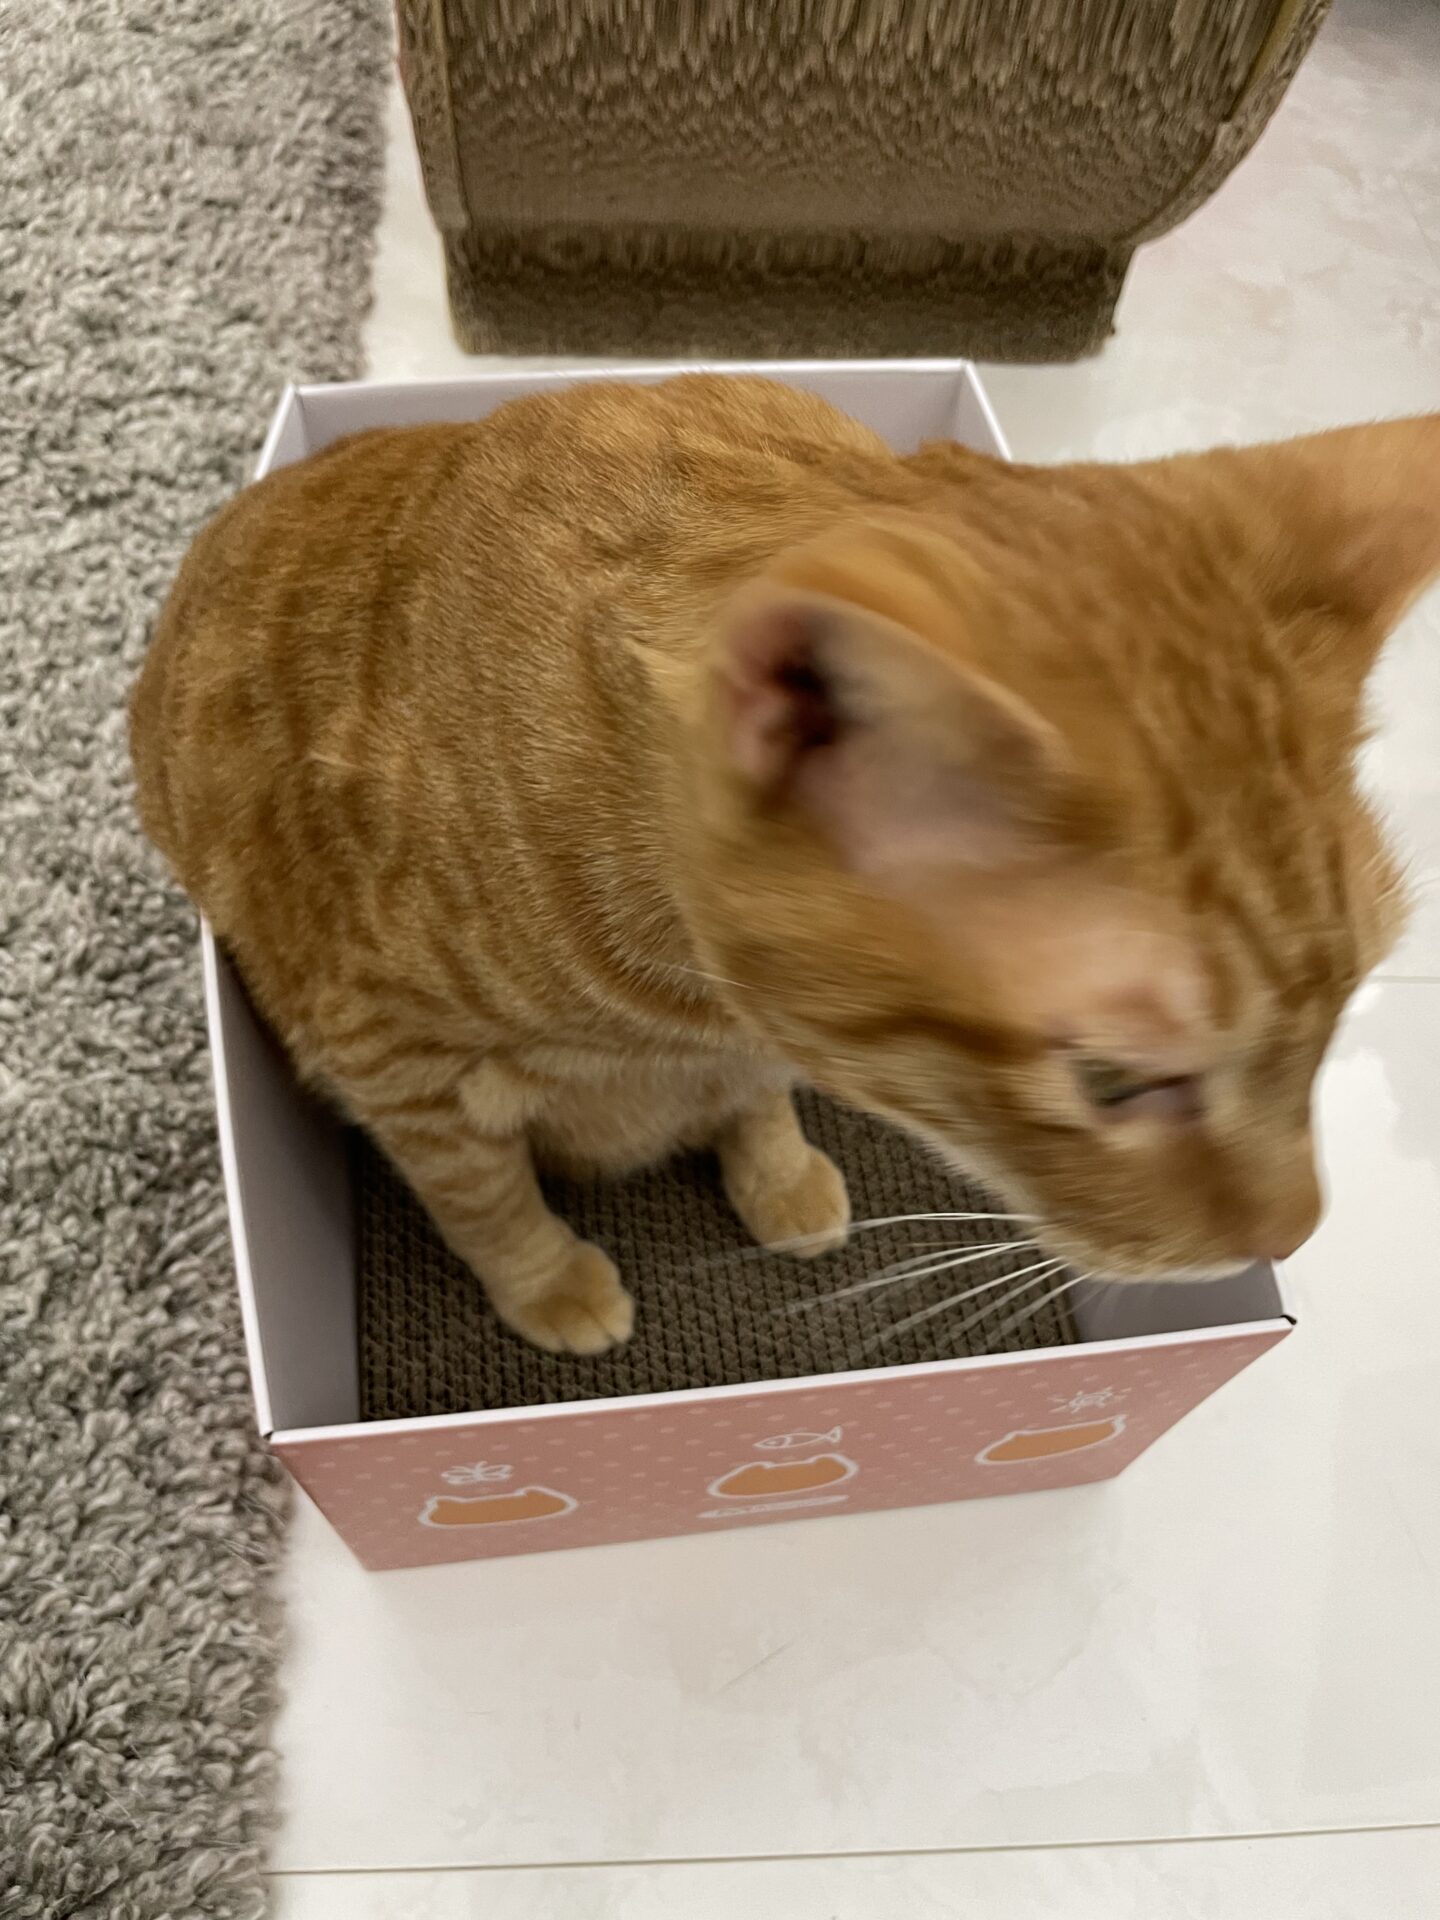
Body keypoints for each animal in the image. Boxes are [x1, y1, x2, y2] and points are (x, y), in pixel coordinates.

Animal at [130, 375, 1438, 1354]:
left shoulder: (751, 1042)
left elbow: (756, 1098)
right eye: (1114, 1082)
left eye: (1345, 1006)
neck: (680, 1004)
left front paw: (779, 1169)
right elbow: (484, 1196)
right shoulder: (390, 1058)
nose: (1297, 1231)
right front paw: (549, 1282)